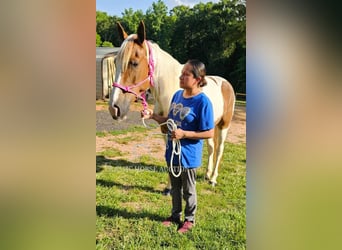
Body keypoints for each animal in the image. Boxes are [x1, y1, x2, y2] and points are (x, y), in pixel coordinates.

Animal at [109, 20, 235, 187]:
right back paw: (207, 174)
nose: (114, 108)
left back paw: (213, 178)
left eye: (134, 63)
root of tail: (225, 83)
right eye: (115, 62)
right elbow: (169, 156)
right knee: (211, 147)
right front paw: (169, 187)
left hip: (223, 125)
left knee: (219, 149)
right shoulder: (165, 129)